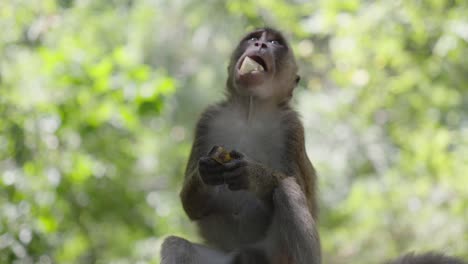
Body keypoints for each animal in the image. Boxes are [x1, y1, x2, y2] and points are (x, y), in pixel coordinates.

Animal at [161, 27, 322, 264]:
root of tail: (246, 256)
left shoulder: (292, 129)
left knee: (288, 191)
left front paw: (253, 175)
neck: (250, 110)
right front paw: (205, 173)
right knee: (177, 245)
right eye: (254, 38)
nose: (260, 45)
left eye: (274, 42)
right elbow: (190, 206)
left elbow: (301, 192)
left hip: (279, 256)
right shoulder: (207, 119)